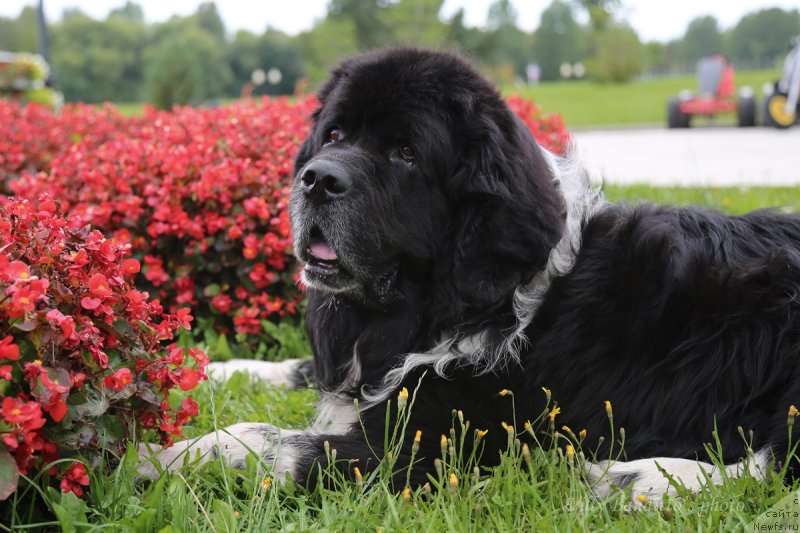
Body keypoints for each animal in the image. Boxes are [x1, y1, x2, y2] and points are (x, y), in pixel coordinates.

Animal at [141, 47, 800, 500]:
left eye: (406, 153)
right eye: (334, 133)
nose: (317, 179)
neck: (452, 299)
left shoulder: (436, 441)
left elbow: (261, 439)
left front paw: (151, 456)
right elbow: (296, 371)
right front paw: (209, 368)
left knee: (772, 464)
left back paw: (633, 479)